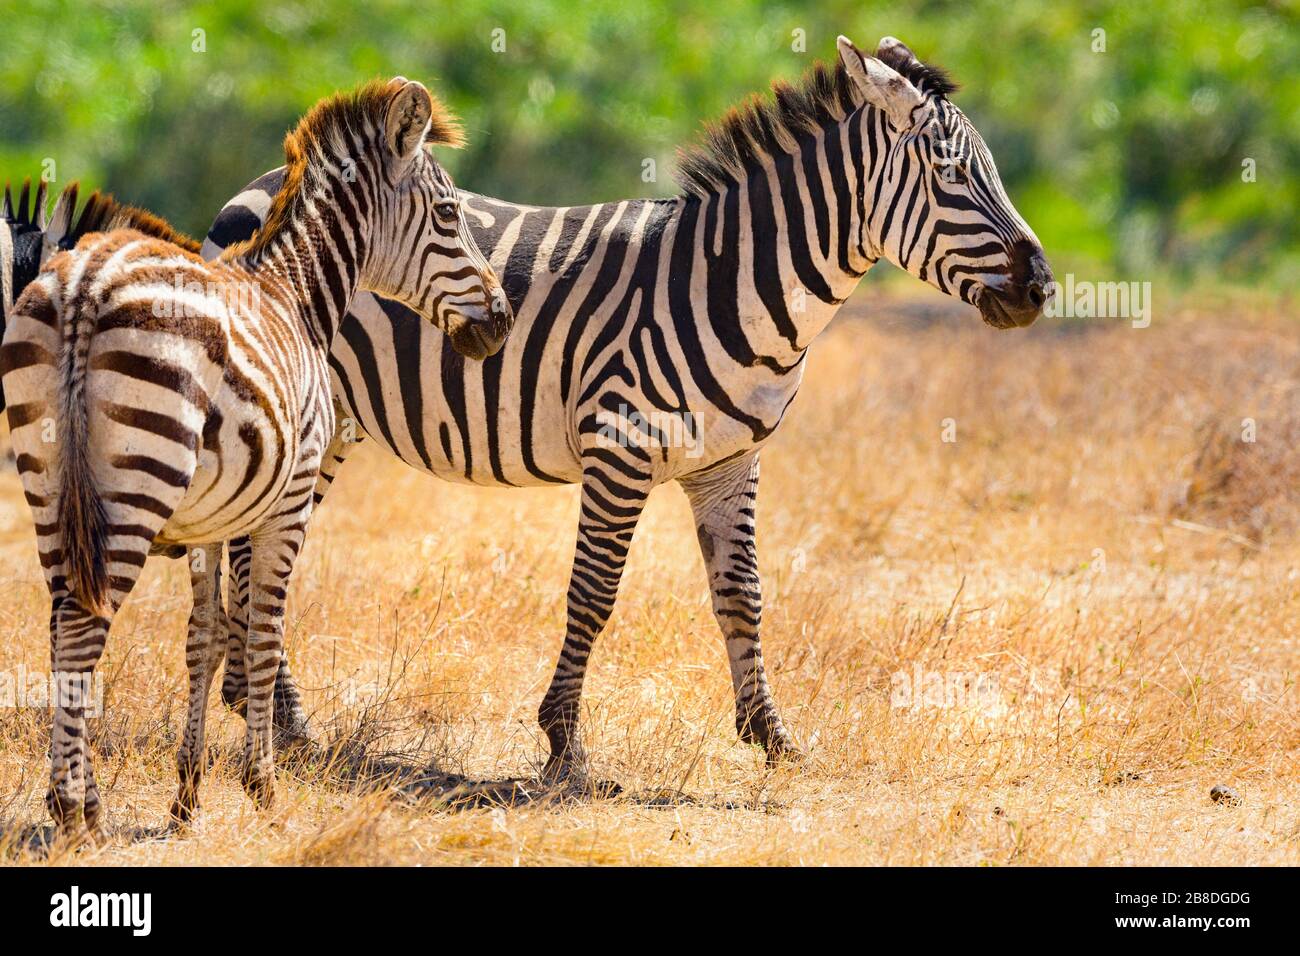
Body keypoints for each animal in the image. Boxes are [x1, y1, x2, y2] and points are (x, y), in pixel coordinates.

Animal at [3, 76, 512, 837]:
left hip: (49, 486)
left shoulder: (210, 521)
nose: (502, 321)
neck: (296, 297)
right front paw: (263, 786)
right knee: (86, 627)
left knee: (64, 622)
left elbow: (206, 637)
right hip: (135, 486)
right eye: (450, 214)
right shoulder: (289, 498)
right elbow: (263, 636)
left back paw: (79, 801)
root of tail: (86, 280)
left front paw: (187, 796)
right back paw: (74, 809)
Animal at [205, 37, 1055, 785]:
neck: (741, 287)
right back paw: (279, 720)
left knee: (259, 549)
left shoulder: (730, 463)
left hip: (327, 422)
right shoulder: (620, 448)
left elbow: (743, 596)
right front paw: (563, 743)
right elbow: (594, 593)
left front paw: (772, 736)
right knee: (255, 553)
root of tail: (257, 184)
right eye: (952, 175)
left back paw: (268, 711)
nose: (1042, 288)